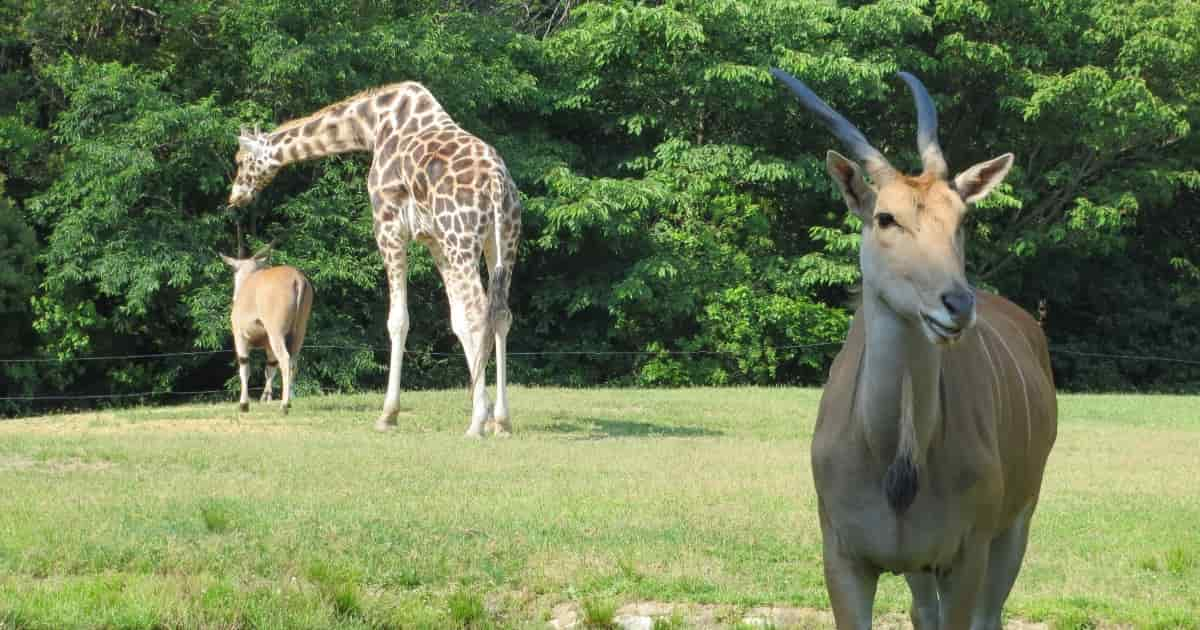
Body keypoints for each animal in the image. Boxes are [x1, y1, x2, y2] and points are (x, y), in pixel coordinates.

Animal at [220, 241, 314, 412]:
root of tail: (297, 279)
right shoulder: (268, 345)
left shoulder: (240, 337)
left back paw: (284, 405)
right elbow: (270, 368)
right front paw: (266, 397)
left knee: (285, 359)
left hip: (276, 333)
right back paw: (288, 400)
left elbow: (244, 367)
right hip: (299, 333)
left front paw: (244, 404)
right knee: (293, 362)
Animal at [768, 68, 1060, 628]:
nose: (958, 304)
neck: (896, 459)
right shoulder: (844, 558)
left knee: (992, 611)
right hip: (921, 568)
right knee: (923, 612)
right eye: (885, 217)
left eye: (962, 217)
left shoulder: (967, 555)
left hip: (1018, 523)